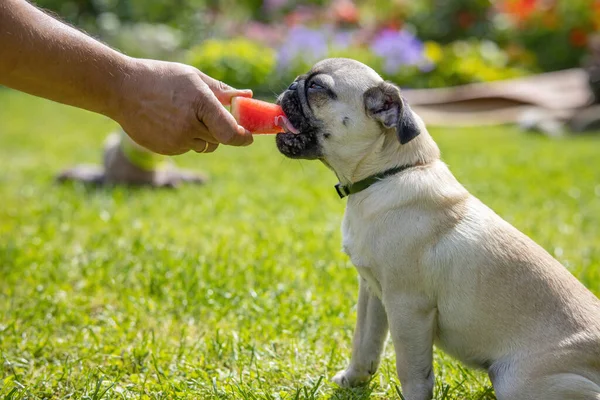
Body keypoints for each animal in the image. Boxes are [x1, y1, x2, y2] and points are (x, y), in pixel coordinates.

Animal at [276, 58, 600, 400]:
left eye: (316, 87)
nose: (290, 86)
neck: (387, 174)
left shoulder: (407, 308)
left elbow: (413, 373)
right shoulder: (373, 293)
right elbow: (364, 343)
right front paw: (353, 380)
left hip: (516, 380)